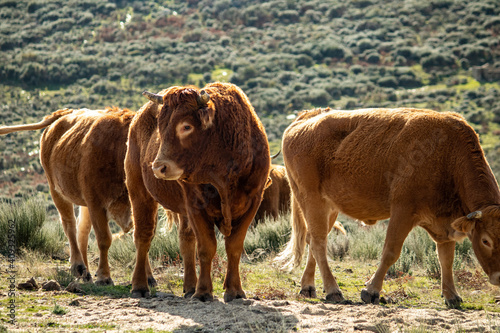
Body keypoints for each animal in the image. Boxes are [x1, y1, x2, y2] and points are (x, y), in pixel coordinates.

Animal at [127, 81, 272, 300]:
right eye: (161, 127)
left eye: (186, 126)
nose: (158, 167)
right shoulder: (196, 206)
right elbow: (206, 247)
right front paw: (203, 291)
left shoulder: (252, 203)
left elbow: (234, 247)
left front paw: (234, 290)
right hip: (139, 193)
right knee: (143, 236)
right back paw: (140, 285)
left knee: (186, 240)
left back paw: (188, 286)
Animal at [280, 107, 500, 306]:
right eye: (485, 241)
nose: (499, 278)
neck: (448, 155)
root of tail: (305, 118)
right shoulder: (403, 211)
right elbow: (391, 252)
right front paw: (371, 291)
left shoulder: (444, 222)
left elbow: (446, 259)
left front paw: (452, 296)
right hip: (312, 200)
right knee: (319, 242)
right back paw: (333, 291)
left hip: (329, 208)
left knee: (312, 240)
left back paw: (308, 287)